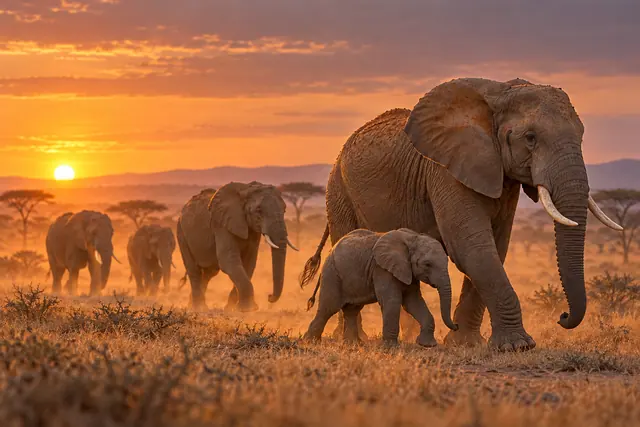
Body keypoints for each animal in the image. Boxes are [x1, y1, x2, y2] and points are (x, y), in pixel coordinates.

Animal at [177, 182, 298, 311]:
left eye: (284, 210)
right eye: (258, 210)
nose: (269, 296)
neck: (246, 190)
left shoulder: (252, 230)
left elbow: (249, 263)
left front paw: (233, 309)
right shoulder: (221, 225)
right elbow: (229, 261)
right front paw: (246, 309)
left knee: (209, 273)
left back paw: (195, 305)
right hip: (181, 232)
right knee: (194, 270)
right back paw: (198, 308)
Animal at [304, 229, 457, 346]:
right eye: (427, 264)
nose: (456, 326)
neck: (413, 238)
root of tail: (330, 251)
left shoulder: (408, 272)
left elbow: (414, 302)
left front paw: (427, 345)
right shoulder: (382, 270)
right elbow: (392, 301)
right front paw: (391, 347)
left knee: (352, 310)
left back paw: (353, 344)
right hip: (332, 274)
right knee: (328, 308)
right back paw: (309, 342)